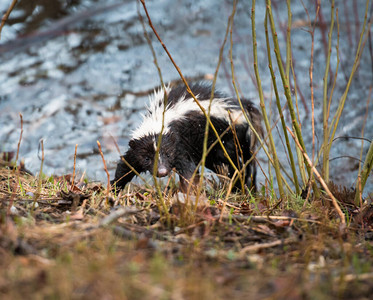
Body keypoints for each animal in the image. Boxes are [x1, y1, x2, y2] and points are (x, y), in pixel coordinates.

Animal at [111, 83, 262, 191]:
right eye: (147, 158)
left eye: (168, 154)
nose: (162, 171)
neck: (159, 119)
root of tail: (240, 110)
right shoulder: (137, 148)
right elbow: (126, 166)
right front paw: (114, 189)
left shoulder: (179, 144)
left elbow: (188, 170)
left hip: (225, 140)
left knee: (234, 166)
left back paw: (238, 187)